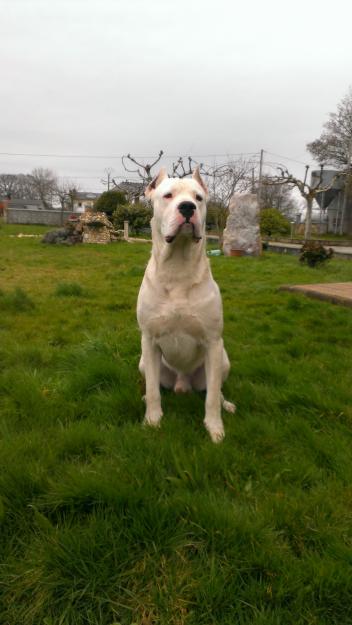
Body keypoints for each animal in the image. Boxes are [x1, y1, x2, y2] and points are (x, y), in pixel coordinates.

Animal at [136, 166, 235, 438]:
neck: (178, 267)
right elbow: (153, 390)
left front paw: (214, 428)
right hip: (143, 362)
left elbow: (211, 397)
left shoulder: (212, 342)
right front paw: (152, 420)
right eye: (168, 195)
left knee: (216, 390)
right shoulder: (149, 340)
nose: (188, 207)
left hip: (223, 361)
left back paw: (227, 404)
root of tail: (183, 383)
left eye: (198, 198)